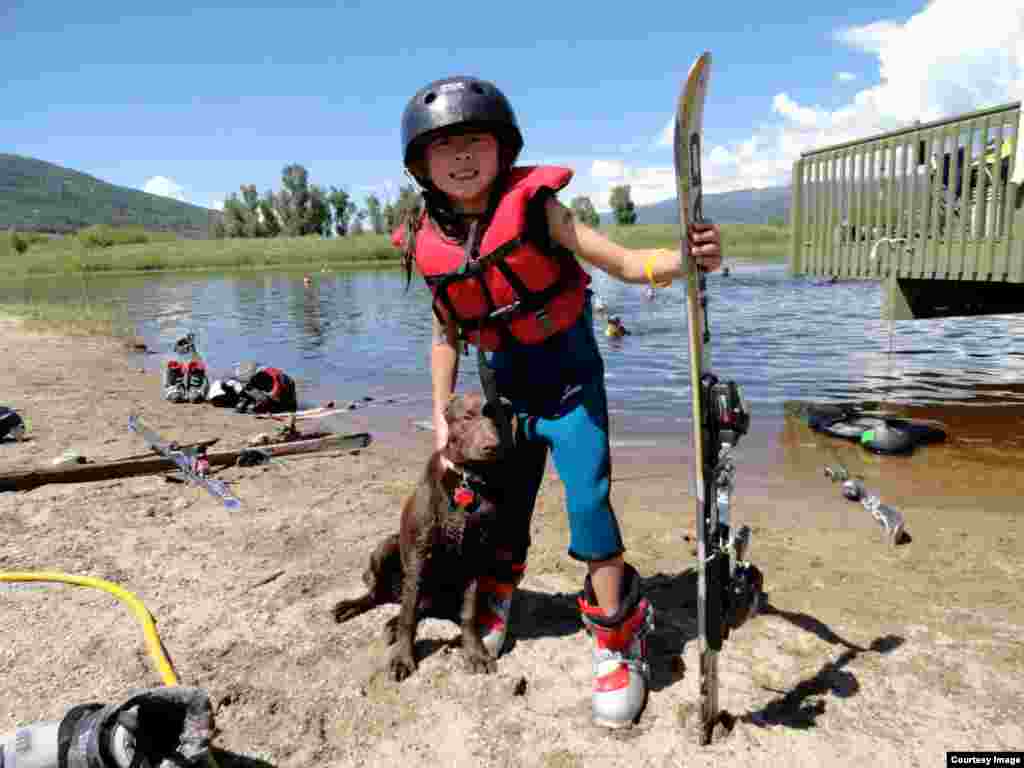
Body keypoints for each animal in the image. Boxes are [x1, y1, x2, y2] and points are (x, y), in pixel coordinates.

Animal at [333, 393, 512, 684]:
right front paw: (403, 658)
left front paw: (475, 653)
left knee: (417, 607)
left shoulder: (476, 557)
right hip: (387, 547)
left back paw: (392, 623)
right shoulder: (418, 554)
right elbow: (409, 616)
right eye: (468, 416)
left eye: (499, 417)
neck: (465, 480)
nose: (492, 447)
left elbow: (469, 613)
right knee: (382, 597)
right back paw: (352, 607)